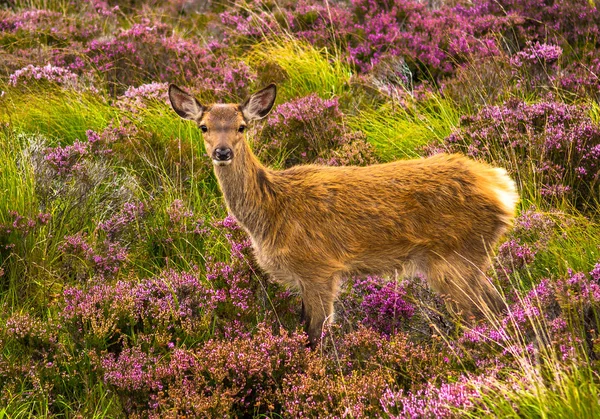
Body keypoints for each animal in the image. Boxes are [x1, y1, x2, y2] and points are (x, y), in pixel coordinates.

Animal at [169, 83, 520, 350]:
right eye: (204, 127)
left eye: (241, 127)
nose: (222, 152)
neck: (271, 213)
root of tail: (503, 188)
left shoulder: (319, 268)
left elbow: (315, 335)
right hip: (469, 257)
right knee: (500, 305)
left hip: (455, 255)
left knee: (482, 313)